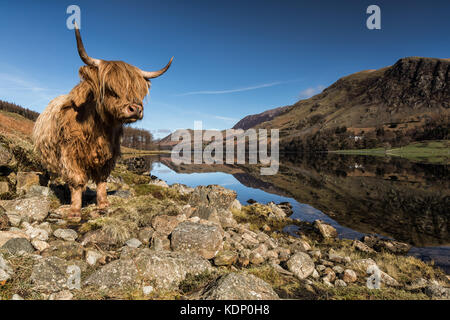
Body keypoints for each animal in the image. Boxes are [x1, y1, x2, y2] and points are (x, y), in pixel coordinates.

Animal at [32, 25, 173, 220]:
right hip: (50, 157)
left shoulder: (109, 153)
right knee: (56, 174)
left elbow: (101, 179)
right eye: (110, 88)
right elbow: (77, 180)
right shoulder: (70, 152)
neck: (99, 128)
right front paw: (75, 210)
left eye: (139, 90)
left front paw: (103, 204)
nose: (135, 109)